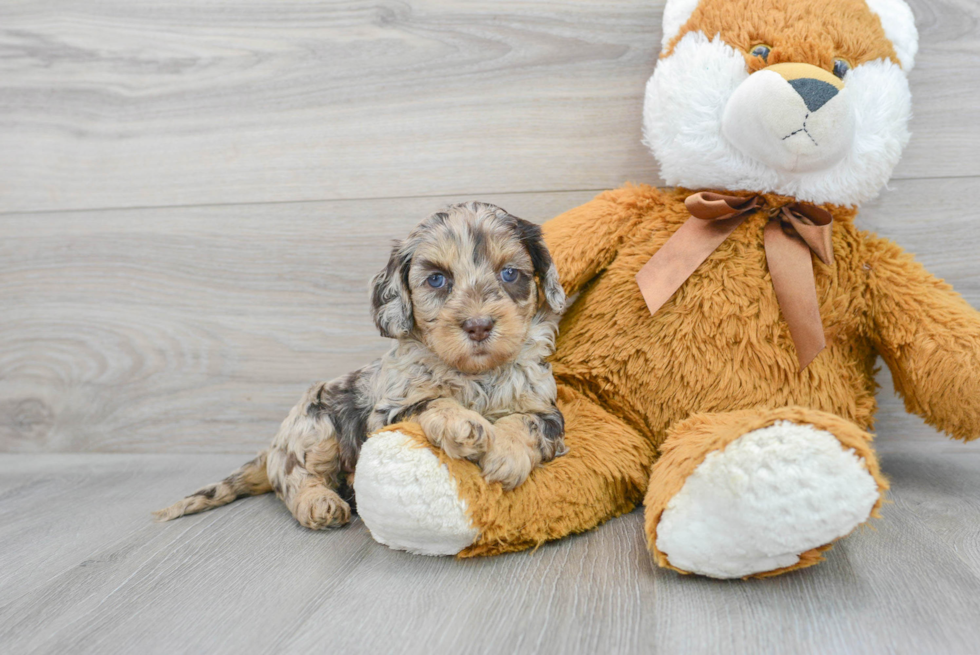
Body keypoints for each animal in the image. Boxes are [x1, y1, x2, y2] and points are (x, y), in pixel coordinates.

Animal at [153, 202, 568, 532]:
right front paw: (463, 424)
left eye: (510, 274)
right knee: (294, 478)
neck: (476, 376)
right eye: (437, 279)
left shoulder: (548, 409)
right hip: (315, 426)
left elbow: (527, 422)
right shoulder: (388, 412)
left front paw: (506, 454)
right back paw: (319, 503)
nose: (479, 325)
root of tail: (273, 445)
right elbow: (432, 401)